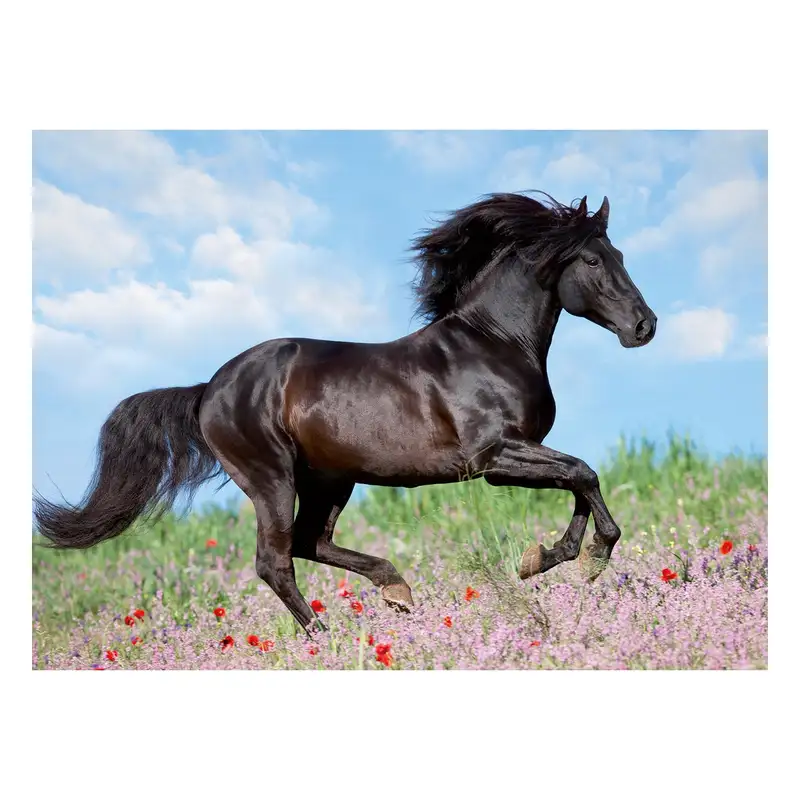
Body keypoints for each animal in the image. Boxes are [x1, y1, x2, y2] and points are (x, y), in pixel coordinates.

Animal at [34, 191, 657, 634]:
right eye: (593, 259)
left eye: (621, 256)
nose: (644, 326)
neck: (493, 343)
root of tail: (208, 389)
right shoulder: (494, 458)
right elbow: (583, 474)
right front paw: (587, 557)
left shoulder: (518, 454)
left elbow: (578, 479)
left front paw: (549, 558)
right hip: (272, 477)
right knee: (276, 559)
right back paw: (324, 636)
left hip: (331, 478)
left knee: (310, 542)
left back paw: (396, 590)